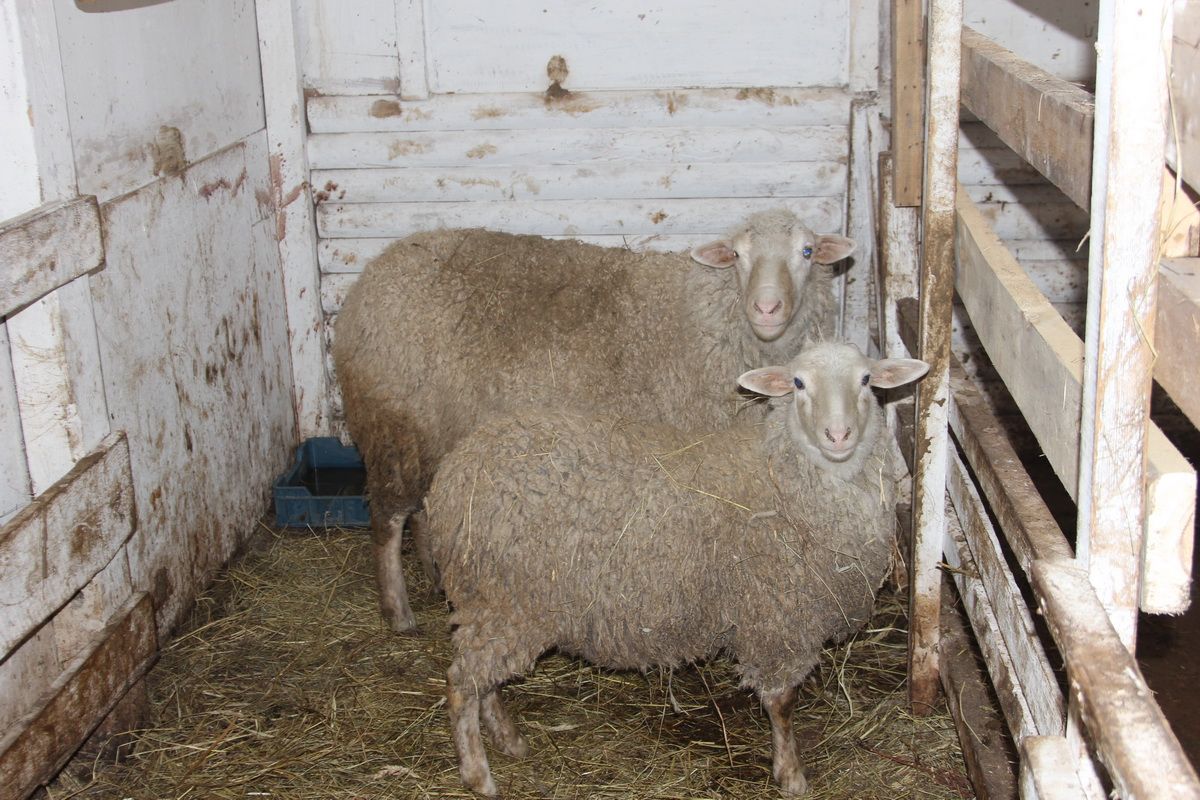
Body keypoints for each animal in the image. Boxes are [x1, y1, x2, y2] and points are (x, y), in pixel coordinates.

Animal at [332, 210, 856, 632]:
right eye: (737, 255)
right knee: (388, 518)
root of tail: (366, 283)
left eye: (807, 251)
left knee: (420, 508)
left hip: (431, 432)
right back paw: (398, 612)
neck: (707, 316)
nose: (766, 308)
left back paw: (434, 575)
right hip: (395, 424)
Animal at [419, 341, 930, 796]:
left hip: (491, 602)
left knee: (485, 681)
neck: (780, 474)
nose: (838, 435)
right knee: (462, 683)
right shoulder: (779, 622)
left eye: (866, 380)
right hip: (508, 602)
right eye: (799, 383)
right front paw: (791, 776)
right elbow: (782, 705)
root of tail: (455, 470)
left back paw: (509, 740)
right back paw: (479, 775)